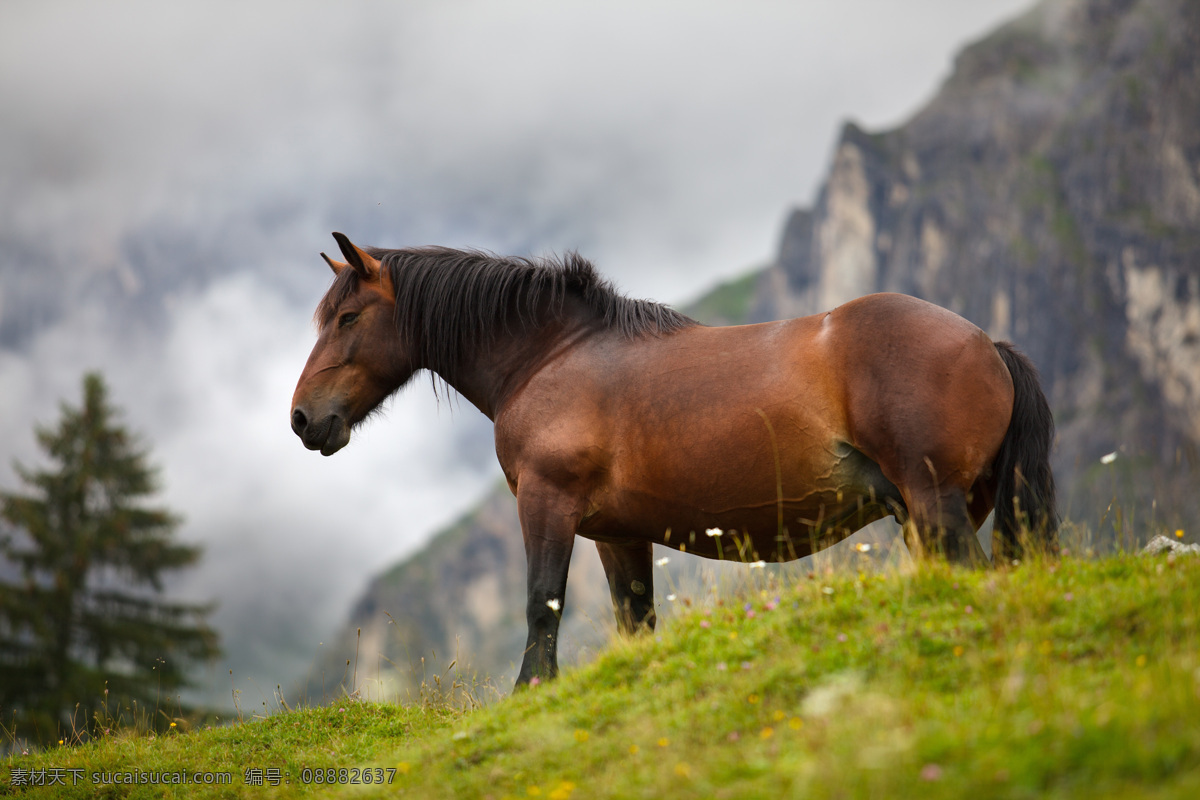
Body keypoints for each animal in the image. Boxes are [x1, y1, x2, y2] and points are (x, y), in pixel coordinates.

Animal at [291, 233, 1058, 686]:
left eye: (349, 318)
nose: (304, 419)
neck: (551, 357)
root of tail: (986, 343)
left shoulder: (547, 504)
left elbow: (543, 603)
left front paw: (532, 691)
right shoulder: (617, 535)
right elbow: (635, 623)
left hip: (935, 506)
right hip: (925, 514)